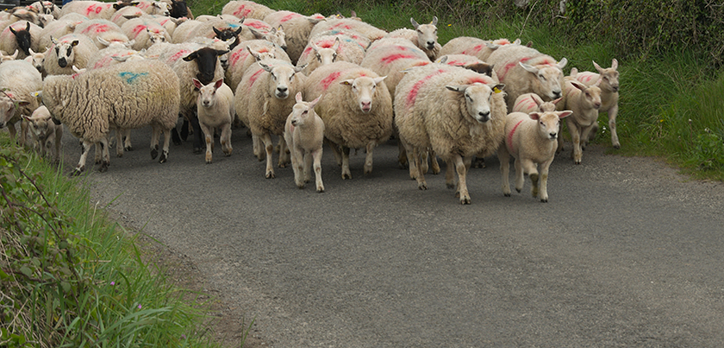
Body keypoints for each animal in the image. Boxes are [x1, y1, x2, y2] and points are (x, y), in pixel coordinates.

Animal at [41, 59, 181, 175]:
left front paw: (78, 168)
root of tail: (168, 68)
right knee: (156, 128)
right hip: (154, 112)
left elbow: (85, 147)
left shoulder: (93, 122)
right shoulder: (99, 121)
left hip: (167, 110)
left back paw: (163, 155)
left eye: (45, 103)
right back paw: (153, 150)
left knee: (167, 132)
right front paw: (104, 163)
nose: (55, 122)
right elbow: (103, 142)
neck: (75, 92)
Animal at [394, 64, 506, 204]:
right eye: (468, 96)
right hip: (415, 132)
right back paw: (421, 181)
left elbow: (466, 166)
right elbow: (461, 168)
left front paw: (458, 189)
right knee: (416, 157)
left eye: (490, 94)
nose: (484, 114)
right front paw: (464, 195)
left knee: (445, 158)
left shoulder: (468, 145)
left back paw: (449, 180)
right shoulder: (452, 143)